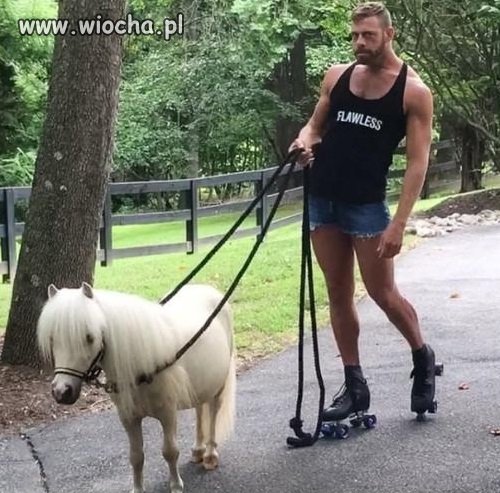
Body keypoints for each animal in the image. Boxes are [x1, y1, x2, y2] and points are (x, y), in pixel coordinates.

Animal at [37, 281, 236, 493]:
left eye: (89, 337)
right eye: (52, 338)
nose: (61, 392)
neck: (142, 365)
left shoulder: (168, 414)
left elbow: (170, 451)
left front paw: (175, 486)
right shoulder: (129, 418)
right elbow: (136, 456)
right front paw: (138, 488)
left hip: (218, 386)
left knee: (213, 414)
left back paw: (210, 455)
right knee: (200, 410)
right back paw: (198, 450)